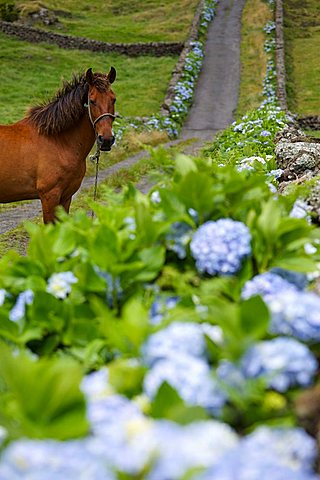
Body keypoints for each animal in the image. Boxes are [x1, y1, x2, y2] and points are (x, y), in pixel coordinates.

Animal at [0, 66, 116, 223]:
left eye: (113, 99)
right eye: (92, 101)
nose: (106, 139)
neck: (58, 142)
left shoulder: (66, 197)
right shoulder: (50, 196)